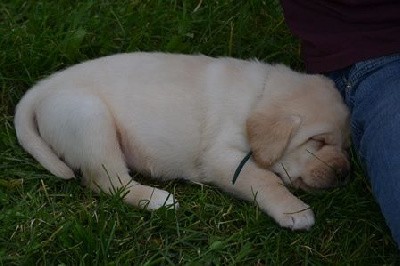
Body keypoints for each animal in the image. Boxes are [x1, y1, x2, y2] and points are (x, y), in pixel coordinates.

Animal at [14, 52, 348, 231]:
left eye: (347, 146)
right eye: (317, 141)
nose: (345, 173)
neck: (258, 96)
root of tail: (42, 89)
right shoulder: (221, 158)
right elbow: (265, 179)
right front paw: (294, 211)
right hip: (90, 118)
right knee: (108, 182)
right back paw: (157, 200)